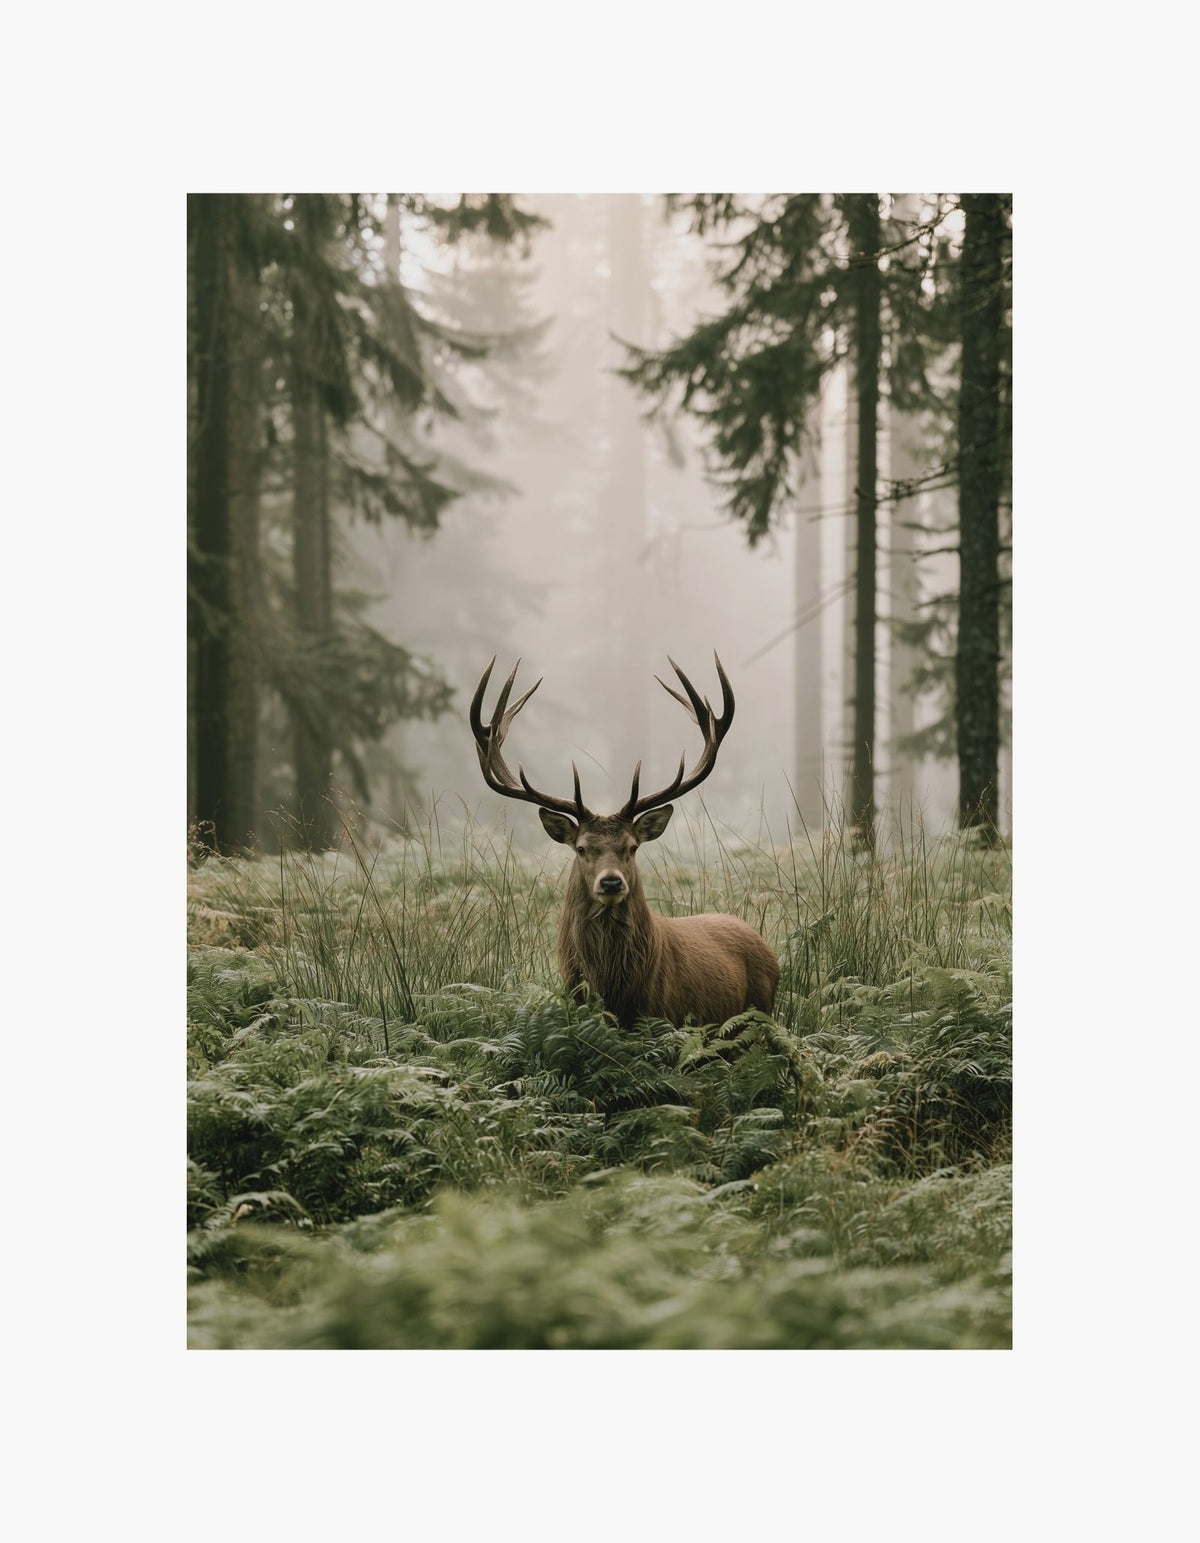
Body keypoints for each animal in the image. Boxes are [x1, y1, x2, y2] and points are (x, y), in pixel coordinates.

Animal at [470, 654, 780, 1030]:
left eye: (632, 847)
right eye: (581, 848)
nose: (611, 882)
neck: (614, 993)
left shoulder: (664, 1018)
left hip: (761, 1012)